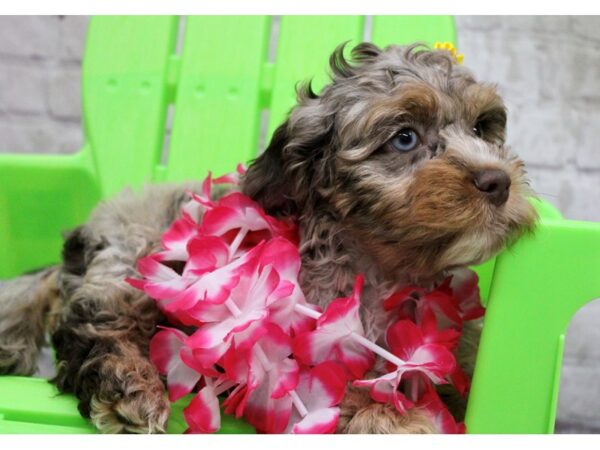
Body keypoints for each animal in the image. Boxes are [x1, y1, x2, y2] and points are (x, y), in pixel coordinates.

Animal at [0, 42, 536, 432]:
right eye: (404, 138)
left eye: (482, 129)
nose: (498, 181)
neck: (382, 268)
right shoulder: (294, 363)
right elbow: (345, 391)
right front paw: (396, 416)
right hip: (131, 263)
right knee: (92, 326)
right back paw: (130, 388)